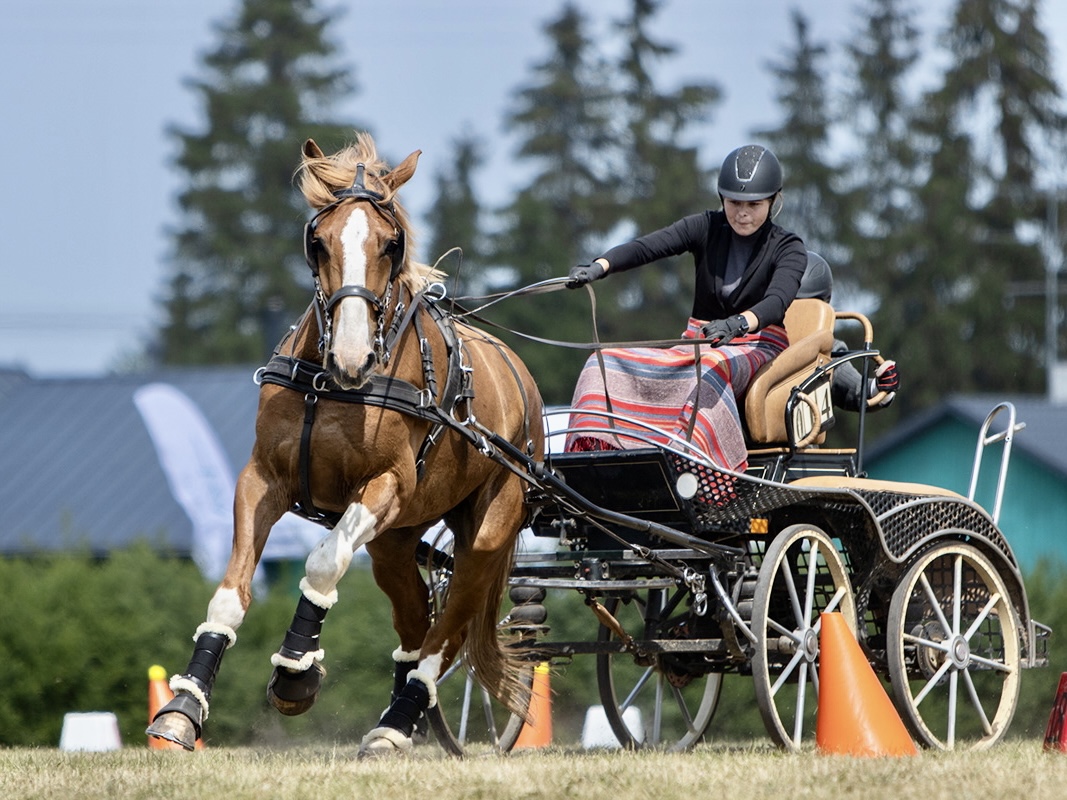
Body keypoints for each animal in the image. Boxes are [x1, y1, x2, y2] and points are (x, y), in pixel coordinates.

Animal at [147, 133, 546, 759]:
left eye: (391, 244)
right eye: (318, 242)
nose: (353, 358)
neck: (330, 387)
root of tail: (523, 380)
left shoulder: (387, 486)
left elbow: (323, 561)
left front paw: (295, 669)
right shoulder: (261, 479)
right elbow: (230, 592)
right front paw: (184, 706)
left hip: (489, 528)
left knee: (447, 631)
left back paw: (397, 721)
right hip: (396, 543)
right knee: (417, 624)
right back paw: (401, 715)